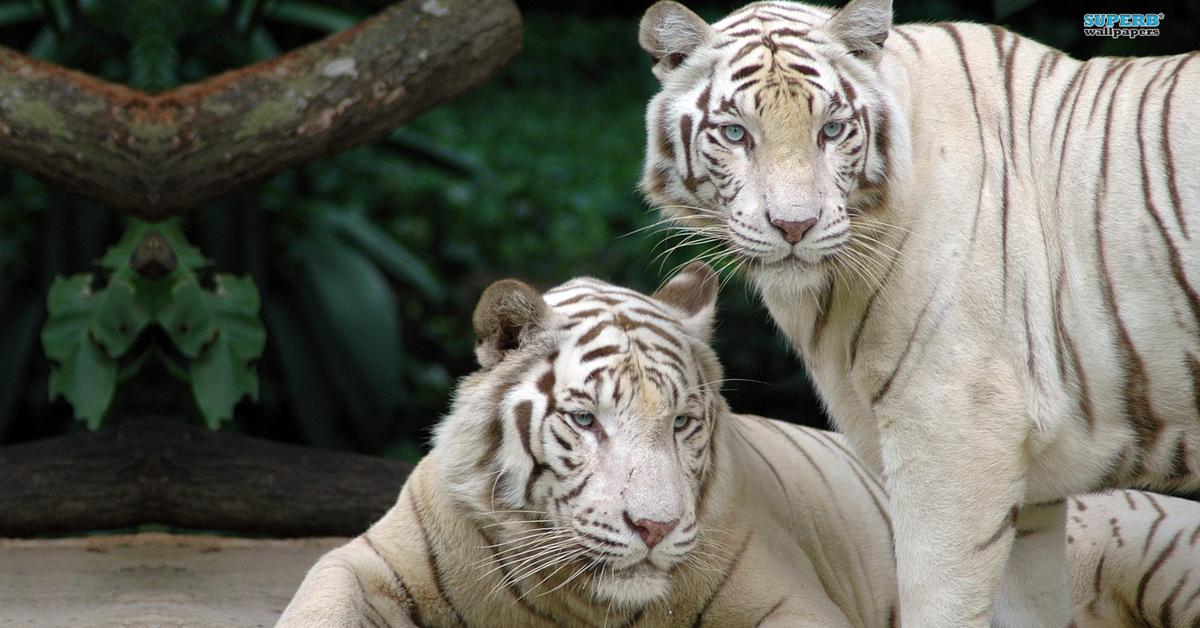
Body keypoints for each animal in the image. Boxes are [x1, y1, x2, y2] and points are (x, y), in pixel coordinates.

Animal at [633, 0, 1195, 624]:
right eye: (736, 133)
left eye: (831, 130)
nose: (794, 226)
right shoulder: (1034, 496)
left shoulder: (954, 435)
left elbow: (936, 599)